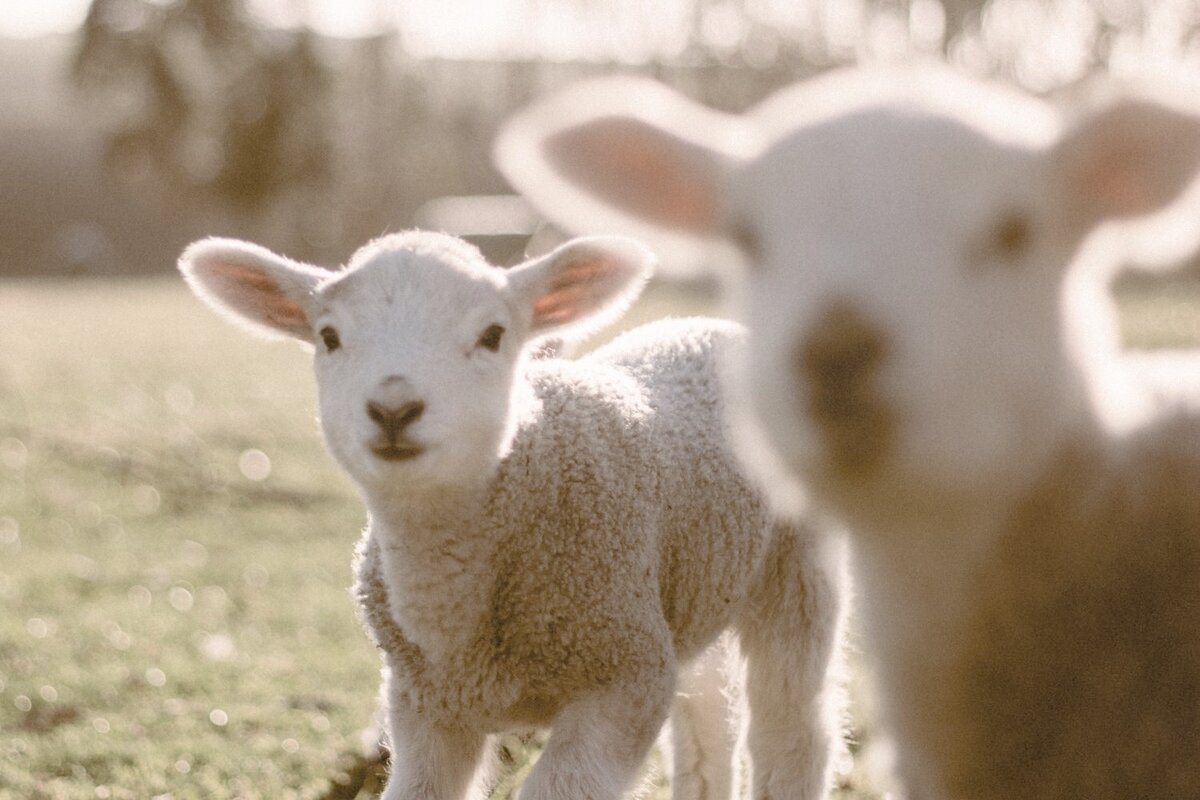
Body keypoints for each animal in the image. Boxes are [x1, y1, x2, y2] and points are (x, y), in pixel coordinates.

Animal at [180, 230, 854, 800]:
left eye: (492, 335)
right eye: (328, 337)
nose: (394, 409)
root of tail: (708, 325)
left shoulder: (624, 678)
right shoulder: (424, 704)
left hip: (798, 569)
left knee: (793, 725)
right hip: (689, 585)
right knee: (708, 716)